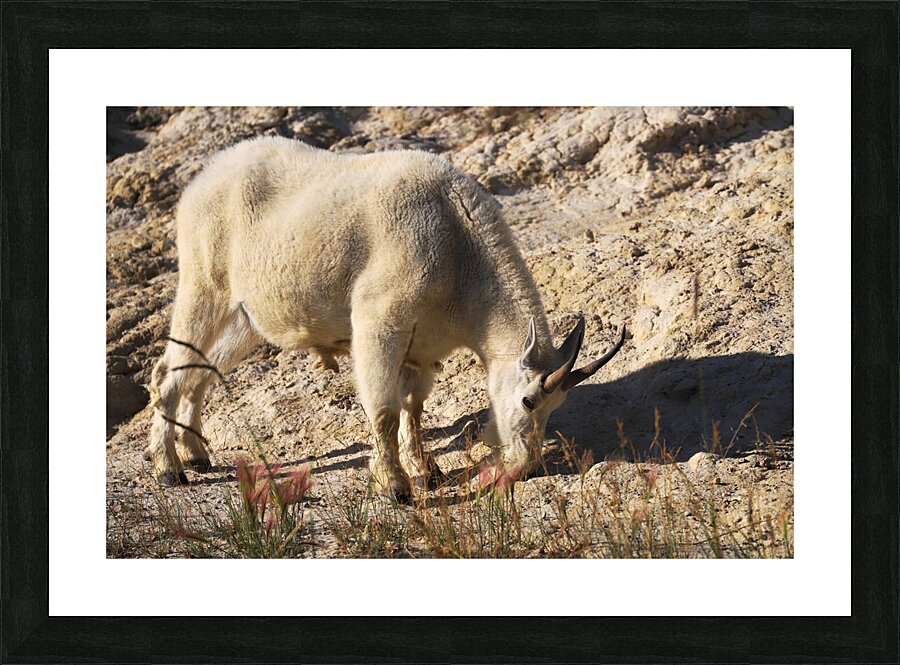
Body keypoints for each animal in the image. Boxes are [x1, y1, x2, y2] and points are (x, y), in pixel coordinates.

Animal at [146, 136, 626, 500]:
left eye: (556, 406)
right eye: (528, 401)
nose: (528, 466)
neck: (460, 250)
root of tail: (203, 177)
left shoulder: (422, 346)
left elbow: (414, 407)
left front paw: (425, 471)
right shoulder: (380, 322)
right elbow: (385, 409)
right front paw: (394, 487)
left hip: (246, 316)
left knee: (202, 370)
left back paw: (195, 453)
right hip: (204, 284)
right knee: (169, 369)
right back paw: (168, 467)